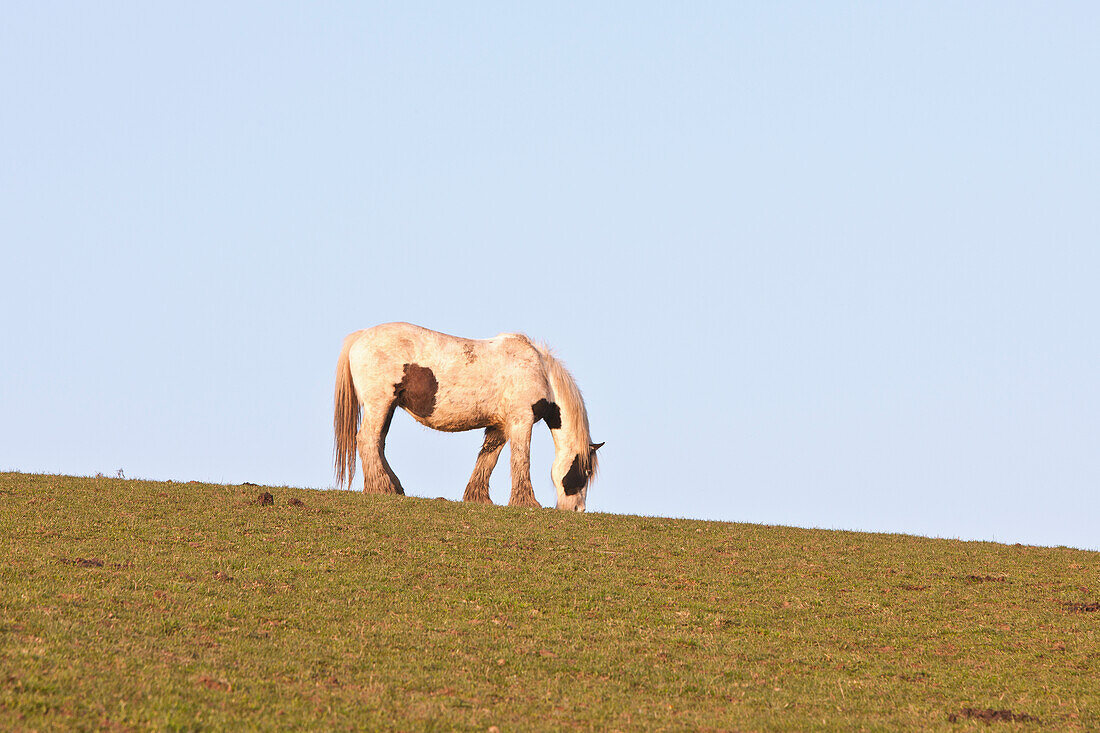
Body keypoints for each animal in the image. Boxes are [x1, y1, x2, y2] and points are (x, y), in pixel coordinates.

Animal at [334, 323, 607, 510]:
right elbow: (521, 460)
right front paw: (526, 502)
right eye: (586, 472)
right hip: (380, 404)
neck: (540, 371)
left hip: (387, 407)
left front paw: (478, 497)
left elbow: (488, 458)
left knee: (378, 442)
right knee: (368, 439)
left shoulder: (499, 426)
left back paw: (394, 487)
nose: (578, 509)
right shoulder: (521, 421)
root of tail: (359, 337)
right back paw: (382, 488)